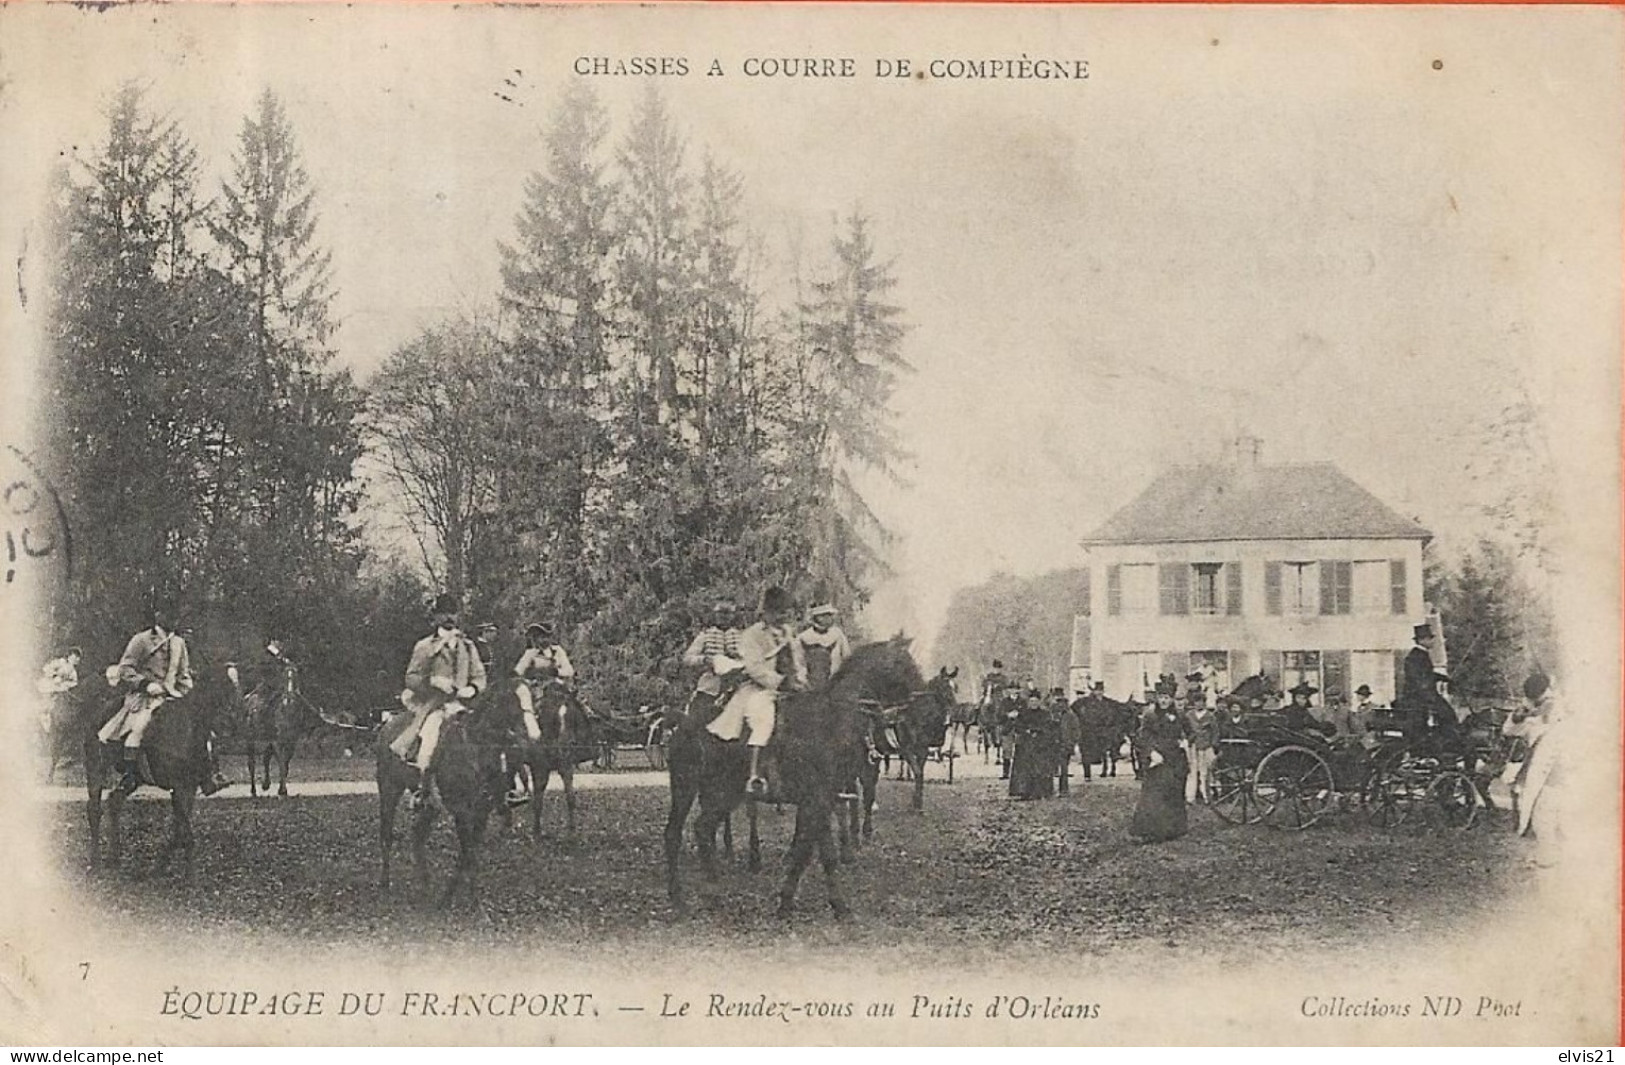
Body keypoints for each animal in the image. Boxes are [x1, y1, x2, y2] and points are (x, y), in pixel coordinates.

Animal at [377, 699, 503, 910]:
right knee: (386, 836)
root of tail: (387, 725)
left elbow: (467, 853)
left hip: (429, 806)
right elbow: (469, 853)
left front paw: (449, 898)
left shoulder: (481, 813)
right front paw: (473, 903)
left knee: (417, 837)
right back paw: (385, 885)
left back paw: (425, 887)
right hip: (389, 790)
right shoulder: (462, 811)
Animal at [663, 637, 929, 923]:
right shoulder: (816, 801)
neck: (829, 721)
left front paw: (803, 902)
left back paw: (714, 892)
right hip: (686, 788)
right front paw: (811, 904)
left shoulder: (821, 802)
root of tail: (681, 725)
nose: (923, 705)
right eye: (903, 663)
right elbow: (813, 853)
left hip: (722, 795)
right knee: (674, 834)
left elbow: (814, 852)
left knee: (703, 829)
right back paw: (679, 898)